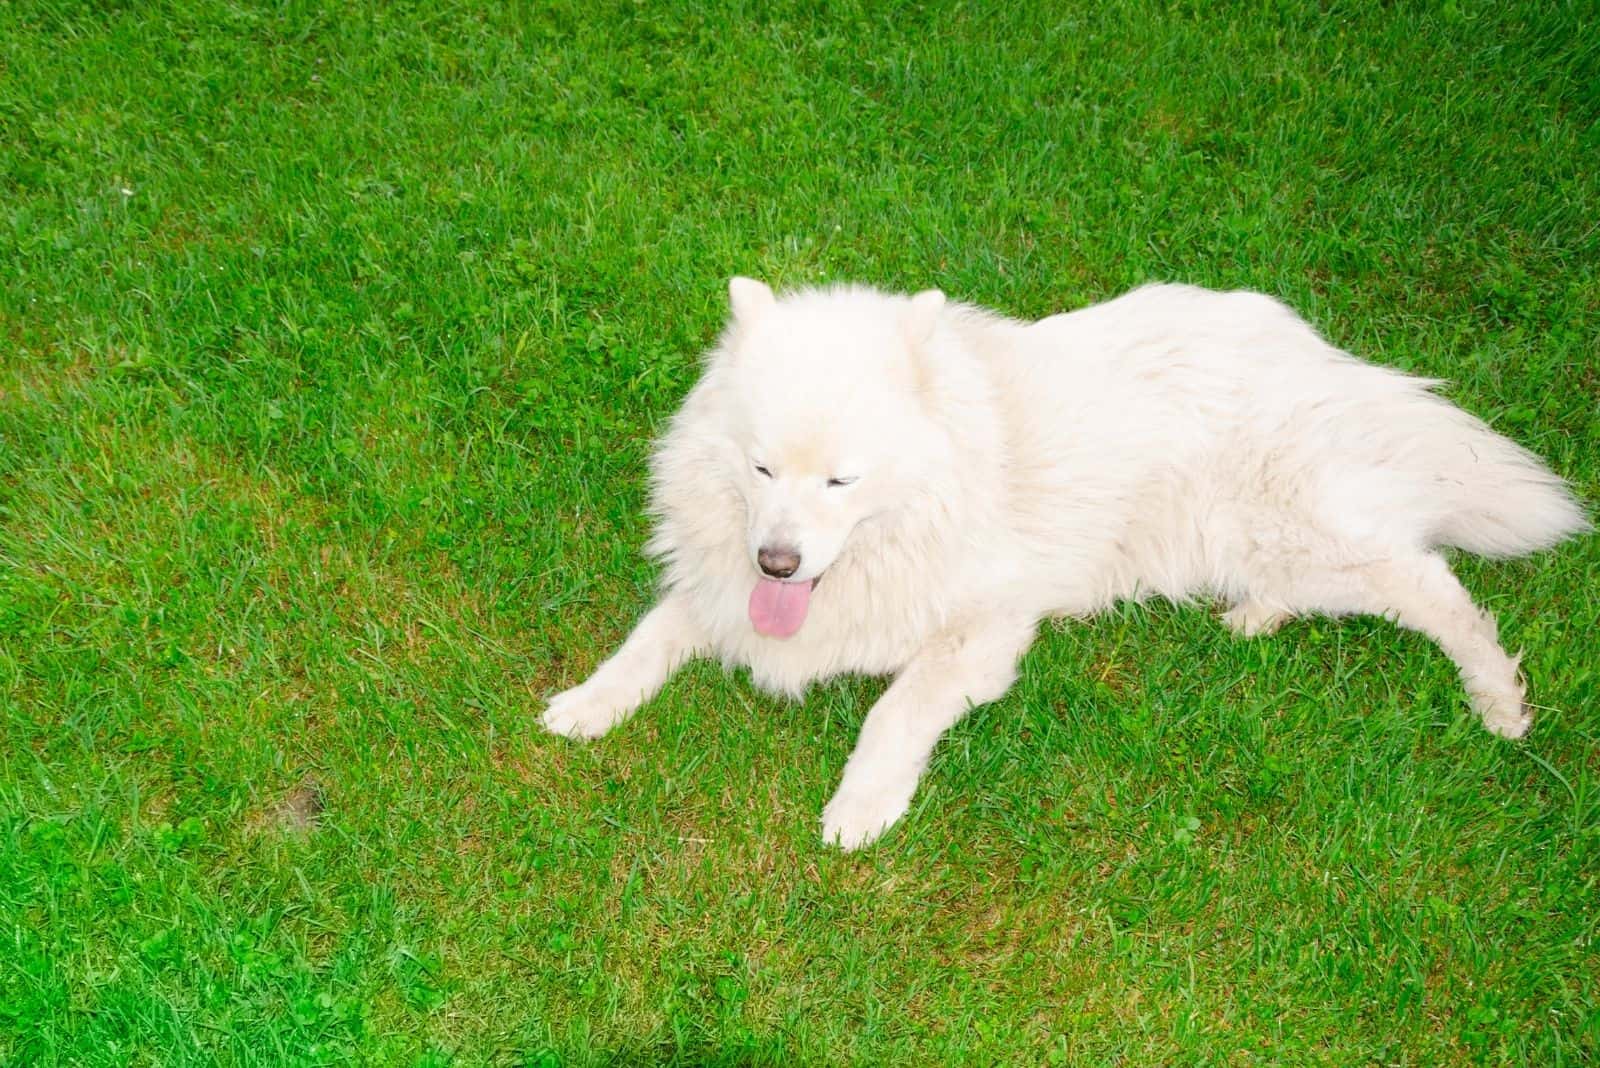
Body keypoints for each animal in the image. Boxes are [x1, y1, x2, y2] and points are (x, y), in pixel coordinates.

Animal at [540, 274, 1587, 850]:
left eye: (841, 480)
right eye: (761, 467)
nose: (779, 563)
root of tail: (1326, 359)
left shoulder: (984, 630)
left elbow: (894, 711)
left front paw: (863, 806)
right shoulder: (719, 584)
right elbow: (649, 638)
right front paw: (587, 705)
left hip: (1308, 532)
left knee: (1434, 586)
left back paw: (1499, 699)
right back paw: (1256, 615)